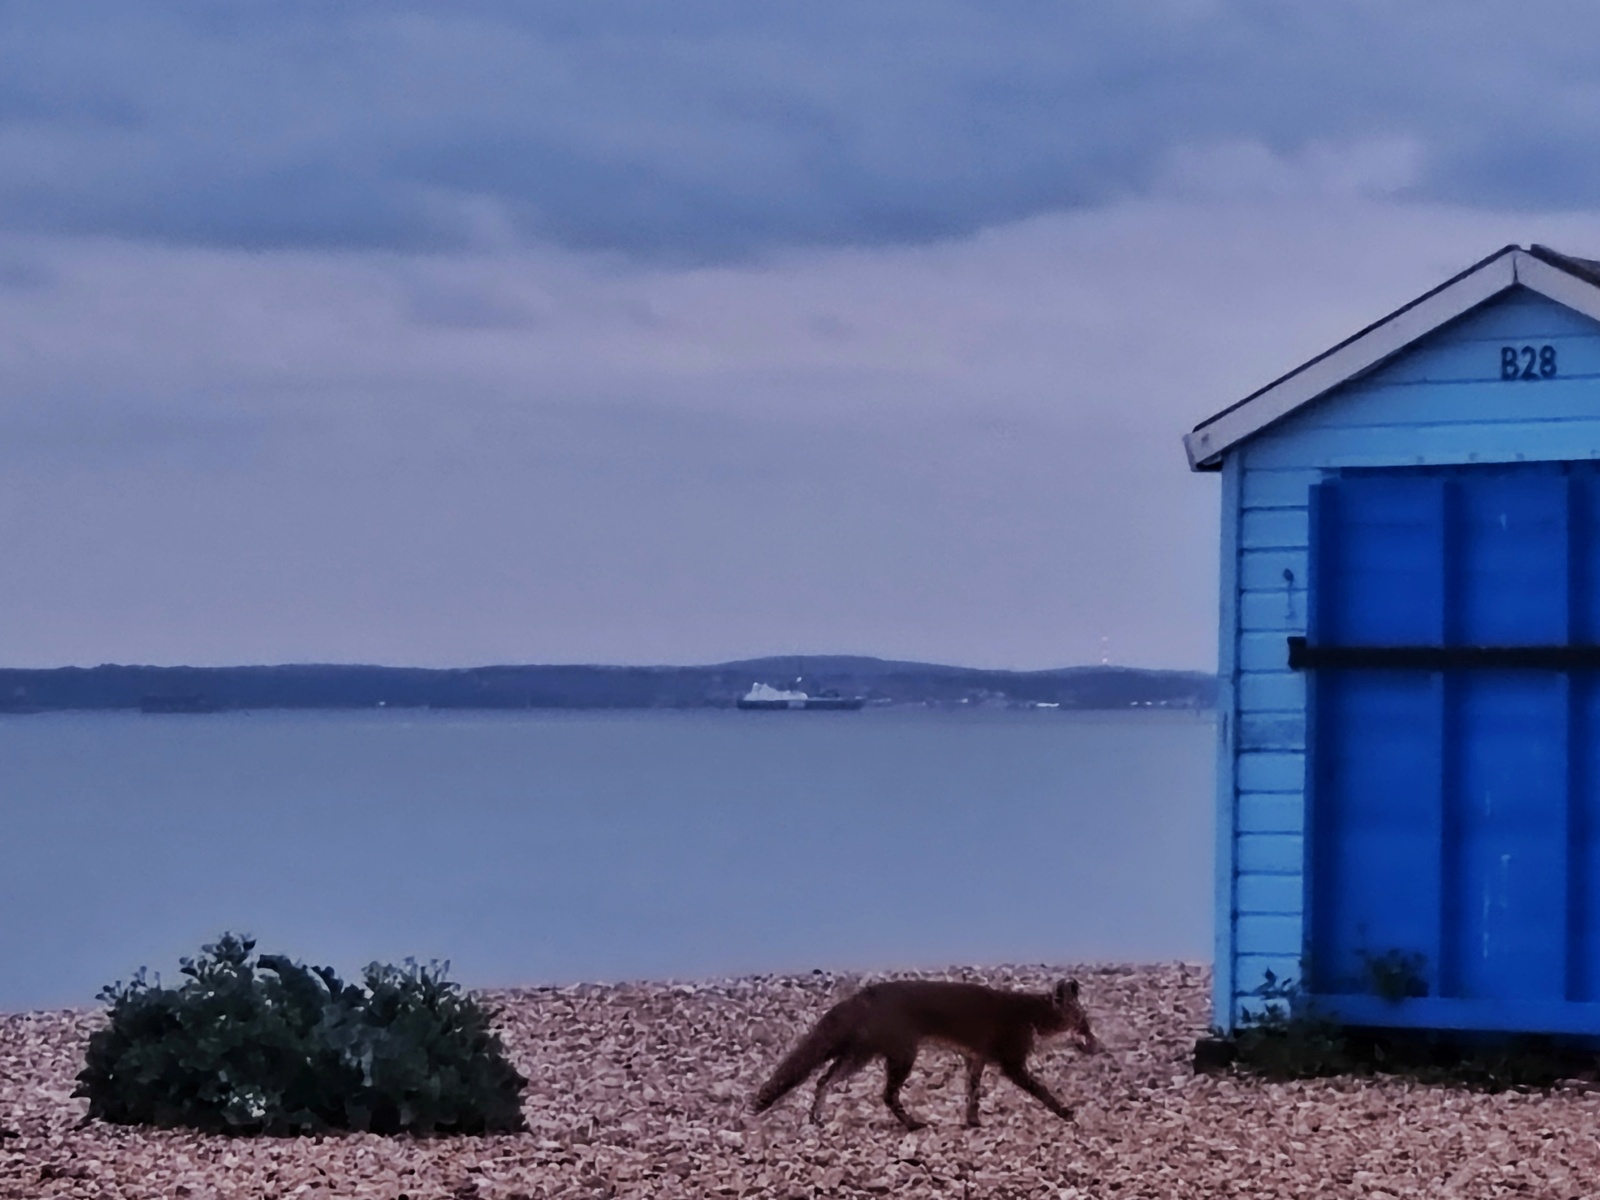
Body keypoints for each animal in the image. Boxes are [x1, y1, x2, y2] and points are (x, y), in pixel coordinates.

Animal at [751, 978, 1100, 1131]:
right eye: (1084, 1026)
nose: (1099, 1047)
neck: (1031, 1017)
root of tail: (863, 995)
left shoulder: (975, 1059)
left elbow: (972, 1095)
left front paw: (973, 1123)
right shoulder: (1012, 1063)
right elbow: (1044, 1093)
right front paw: (1066, 1113)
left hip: (860, 1056)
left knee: (823, 1080)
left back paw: (816, 1118)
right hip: (902, 1056)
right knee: (886, 1095)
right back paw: (913, 1124)